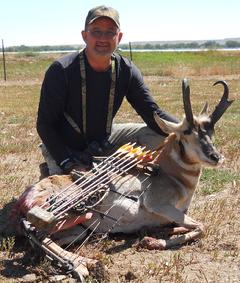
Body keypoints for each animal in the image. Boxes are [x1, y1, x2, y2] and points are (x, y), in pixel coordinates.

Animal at [10, 80, 232, 280]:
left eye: (211, 131)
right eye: (187, 132)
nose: (215, 157)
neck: (171, 175)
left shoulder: (175, 214)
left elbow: (189, 226)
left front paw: (151, 235)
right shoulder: (159, 205)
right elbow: (202, 227)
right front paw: (153, 241)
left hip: (79, 229)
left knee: (46, 239)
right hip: (67, 216)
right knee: (36, 231)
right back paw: (86, 266)